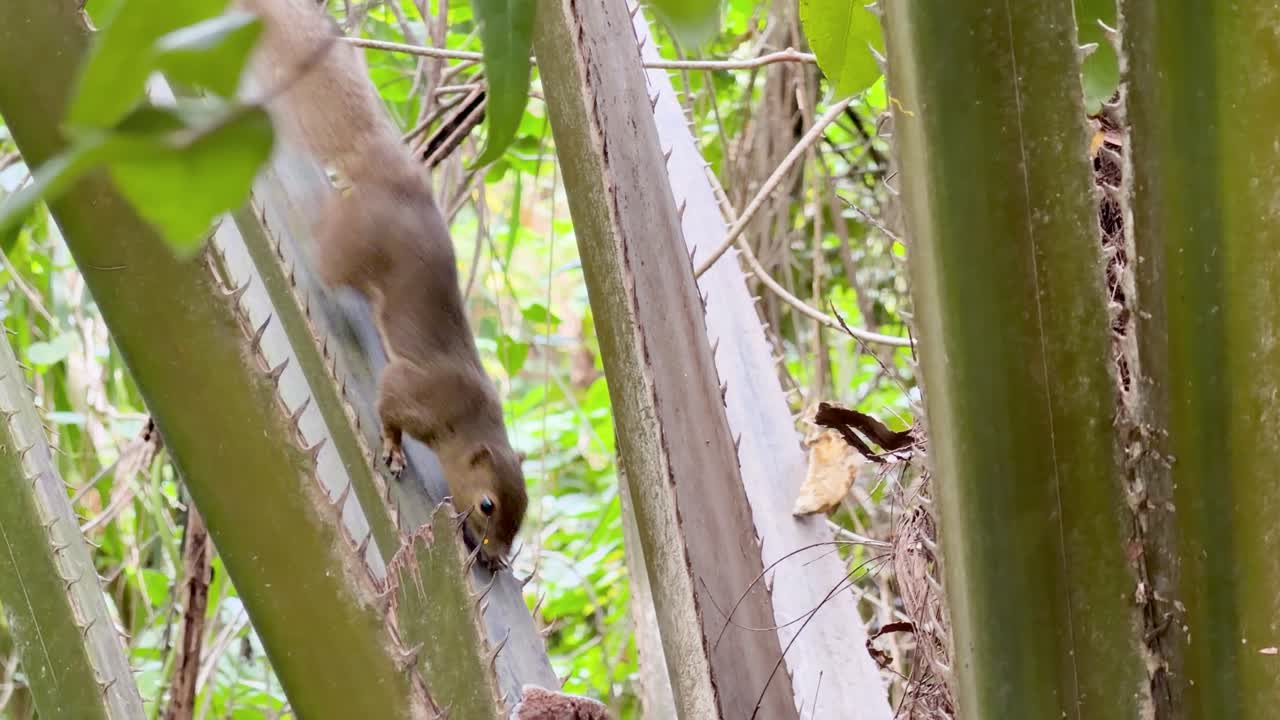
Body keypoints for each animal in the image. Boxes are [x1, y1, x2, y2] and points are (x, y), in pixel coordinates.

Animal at [237, 0, 527, 570]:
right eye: (487, 505)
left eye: (522, 515)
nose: (494, 560)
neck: (471, 421)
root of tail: (397, 174)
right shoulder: (414, 392)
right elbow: (388, 405)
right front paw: (393, 451)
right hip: (346, 250)